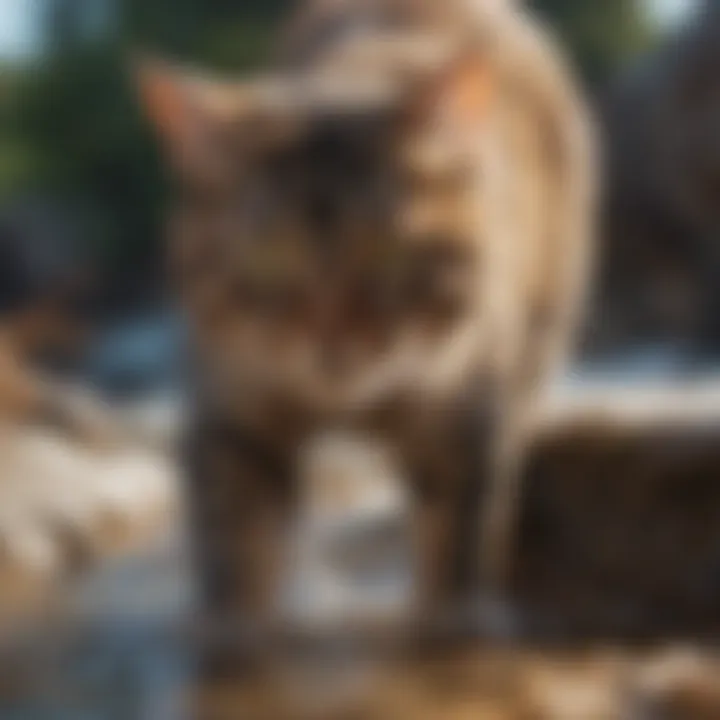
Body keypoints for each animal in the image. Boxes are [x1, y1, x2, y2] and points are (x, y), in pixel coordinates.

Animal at [136, 0, 596, 656]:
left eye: (388, 254)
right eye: (269, 258)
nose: (332, 343)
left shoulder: (466, 409)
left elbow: (458, 530)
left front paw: (451, 621)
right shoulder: (230, 409)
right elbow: (235, 537)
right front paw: (234, 628)